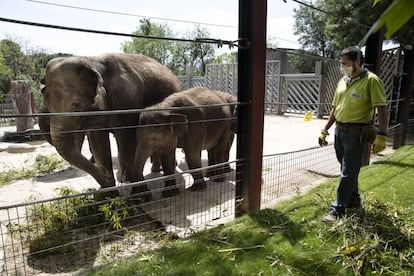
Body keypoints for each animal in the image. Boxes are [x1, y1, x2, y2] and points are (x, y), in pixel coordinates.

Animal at [39, 52, 180, 189]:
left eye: (77, 105)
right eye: (48, 107)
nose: (107, 181)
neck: (91, 61)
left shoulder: (127, 100)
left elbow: (127, 139)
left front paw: (131, 184)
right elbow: (97, 141)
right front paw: (110, 189)